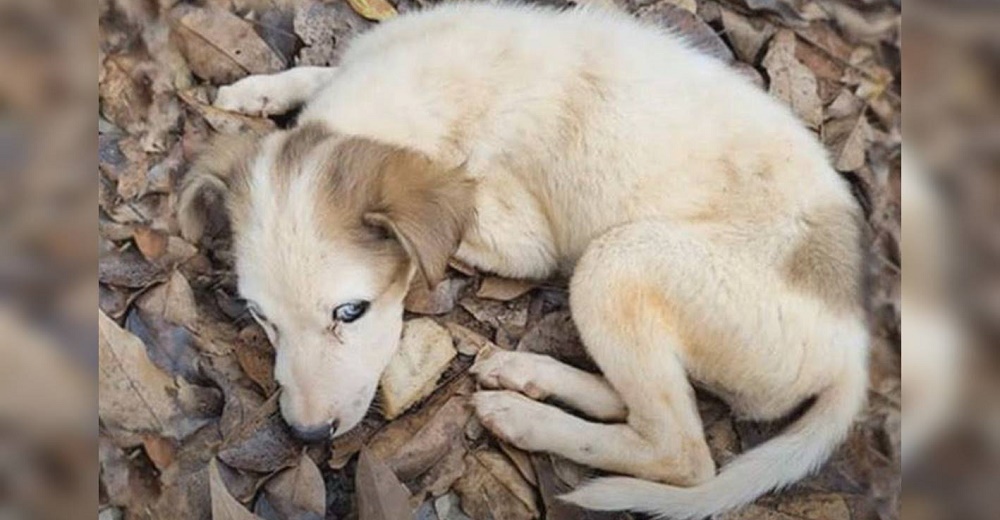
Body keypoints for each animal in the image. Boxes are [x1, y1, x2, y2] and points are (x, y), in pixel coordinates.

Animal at [178, 2, 868, 516]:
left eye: (351, 311)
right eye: (259, 316)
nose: (307, 436)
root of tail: (852, 355)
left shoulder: (520, 235)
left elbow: (464, 216)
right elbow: (317, 71)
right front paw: (254, 91)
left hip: (617, 260)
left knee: (681, 451)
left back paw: (525, 419)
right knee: (642, 404)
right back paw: (529, 376)